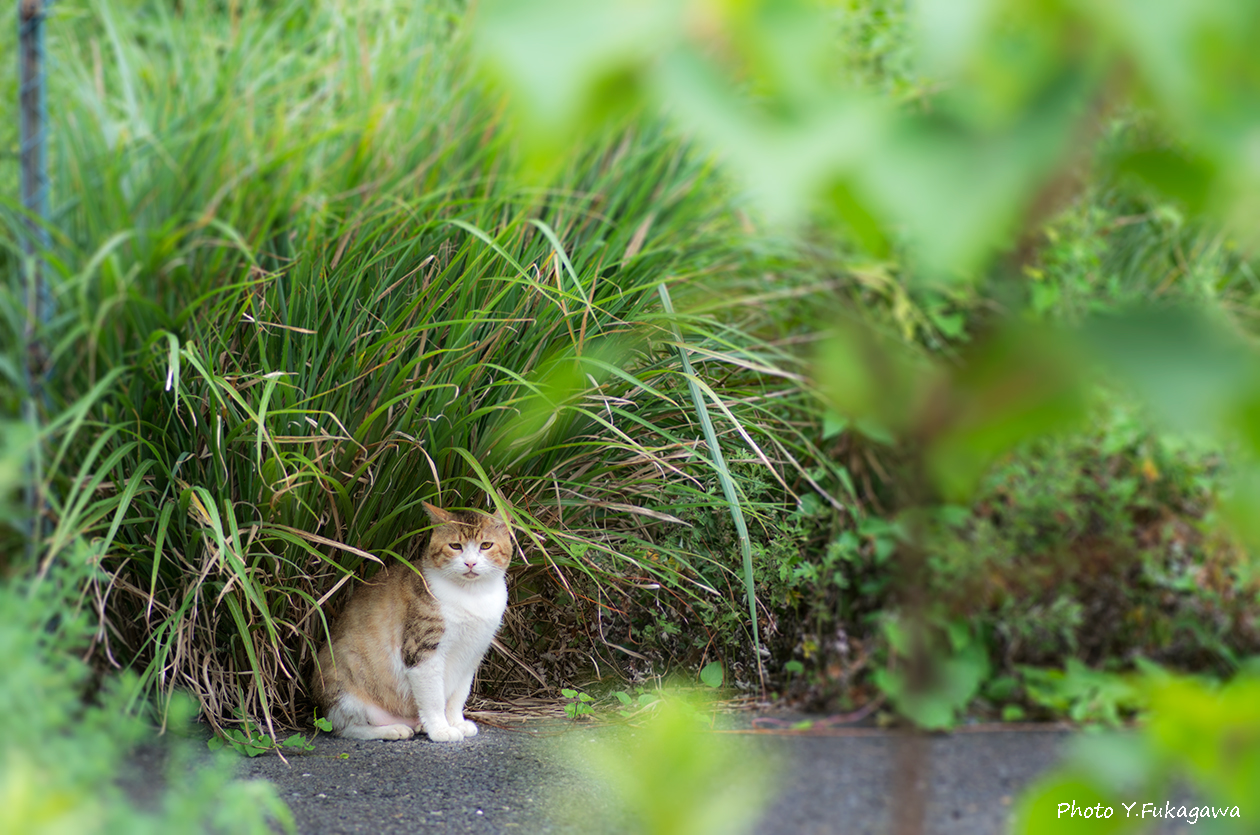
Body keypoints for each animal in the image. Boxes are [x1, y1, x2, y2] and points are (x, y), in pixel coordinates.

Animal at [309, 498, 511, 740]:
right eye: (455, 546)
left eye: (486, 545)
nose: (470, 563)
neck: (472, 595)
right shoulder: (422, 650)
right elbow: (434, 698)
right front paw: (442, 730)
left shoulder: (472, 653)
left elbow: (458, 696)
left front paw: (456, 722)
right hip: (346, 683)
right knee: (346, 728)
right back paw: (393, 729)